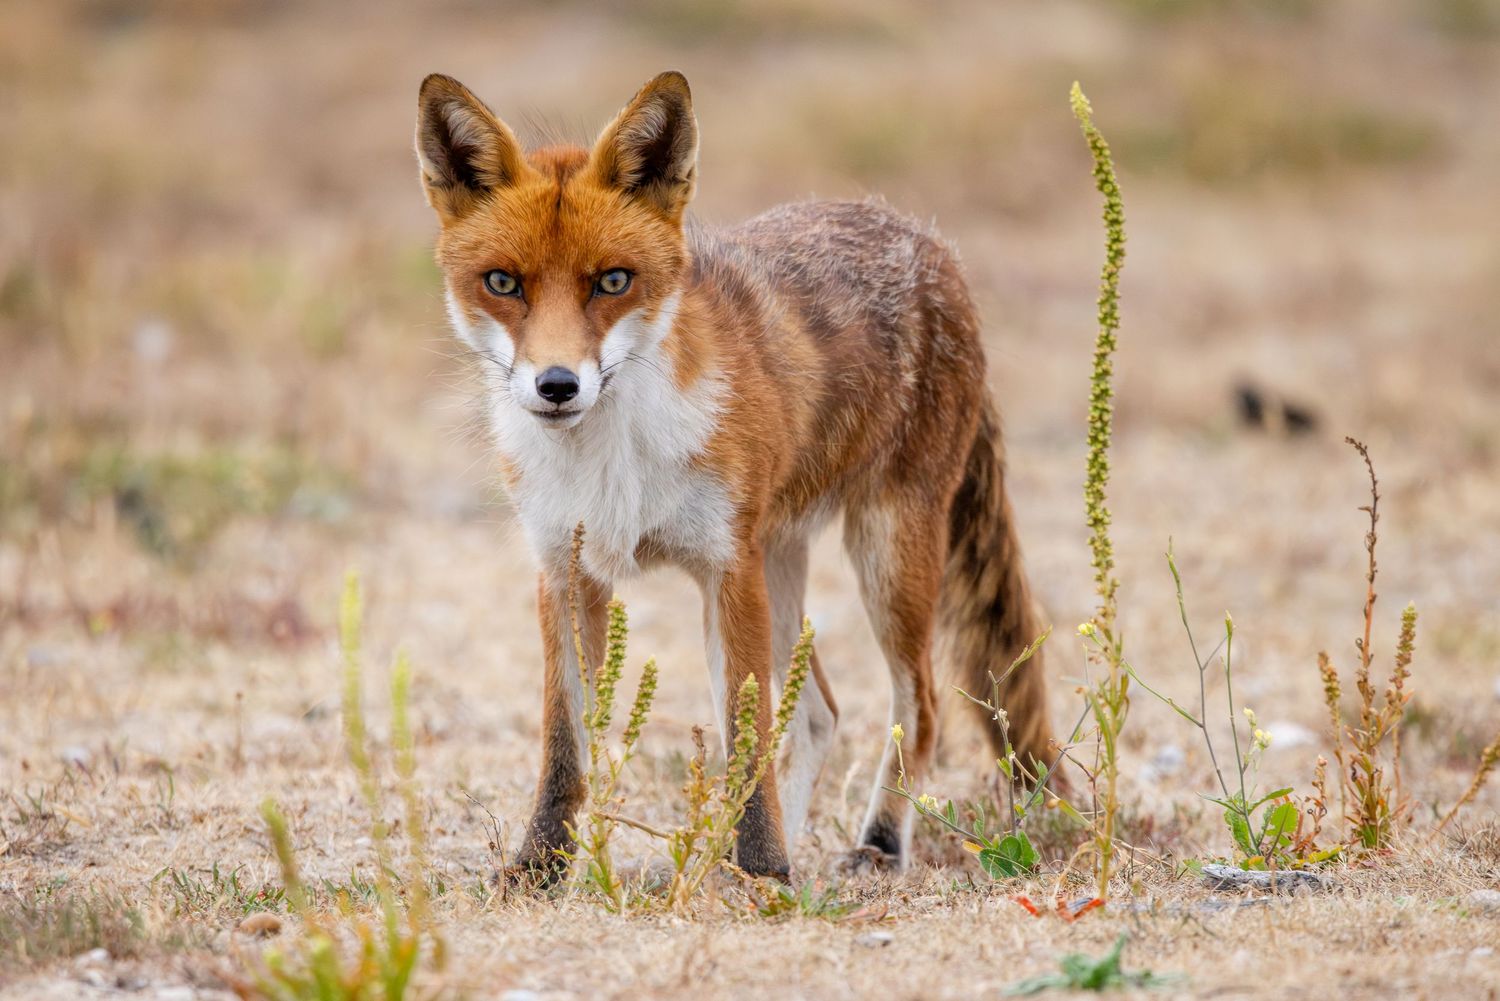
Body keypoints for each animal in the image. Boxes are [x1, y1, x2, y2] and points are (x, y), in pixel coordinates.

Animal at [414, 70, 1054, 880]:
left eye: (613, 281)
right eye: (502, 282)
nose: (557, 385)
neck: (615, 462)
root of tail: (933, 243)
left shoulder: (725, 567)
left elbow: (743, 736)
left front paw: (765, 871)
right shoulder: (565, 570)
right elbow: (565, 747)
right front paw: (540, 869)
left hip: (884, 557)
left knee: (921, 707)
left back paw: (876, 842)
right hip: (781, 566)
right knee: (820, 715)